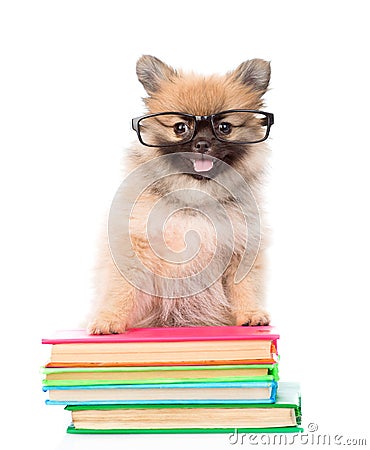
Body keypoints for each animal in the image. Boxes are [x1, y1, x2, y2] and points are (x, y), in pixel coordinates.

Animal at [87, 54, 272, 334]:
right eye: (180, 128)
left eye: (224, 127)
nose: (202, 144)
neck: (194, 195)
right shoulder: (135, 244)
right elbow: (121, 290)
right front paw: (110, 319)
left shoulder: (242, 248)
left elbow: (244, 287)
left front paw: (250, 314)